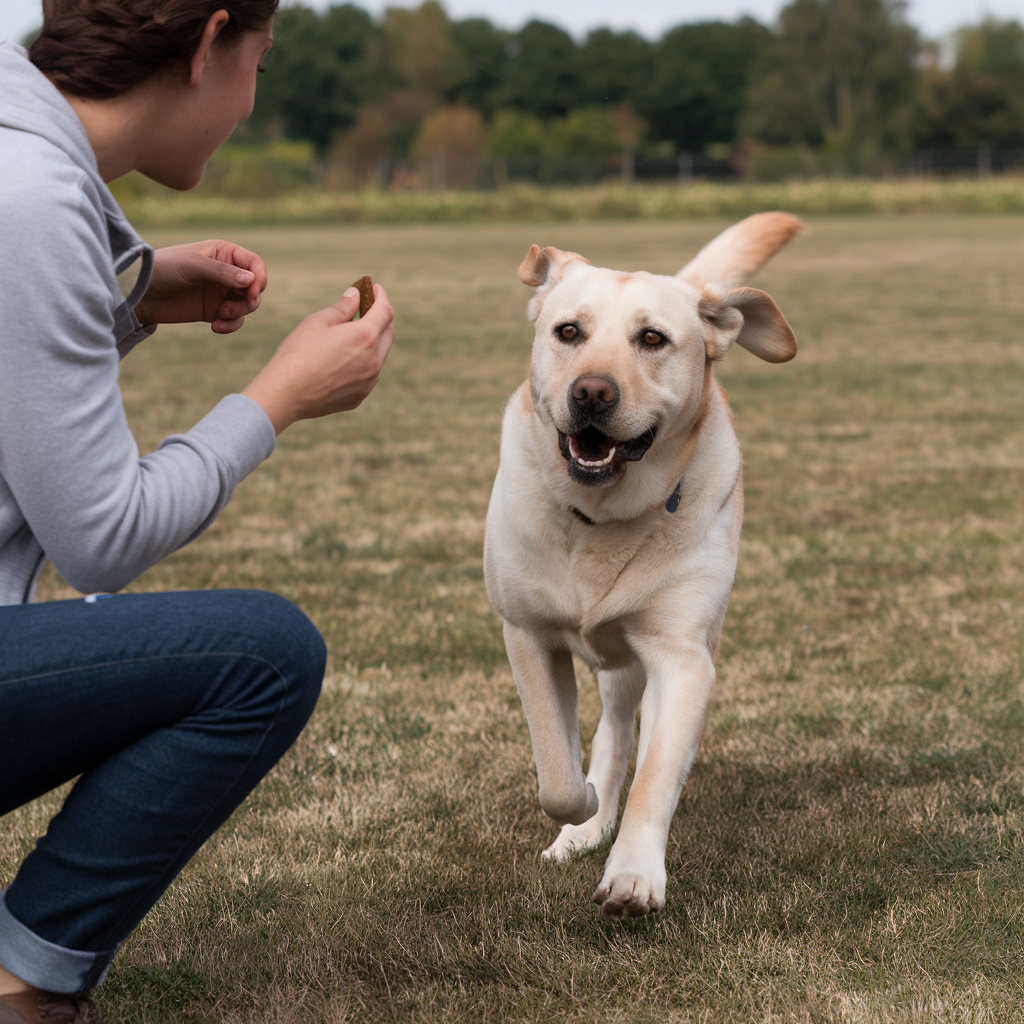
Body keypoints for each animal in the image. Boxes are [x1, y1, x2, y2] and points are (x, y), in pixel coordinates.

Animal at [485, 211, 798, 917]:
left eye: (652, 338)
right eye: (568, 331)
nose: (592, 392)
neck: (601, 517)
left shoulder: (682, 658)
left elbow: (656, 773)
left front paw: (633, 875)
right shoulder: (527, 634)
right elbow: (556, 772)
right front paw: (582, 814)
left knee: (631, 733)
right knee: (608, 736)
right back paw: (585, 826)